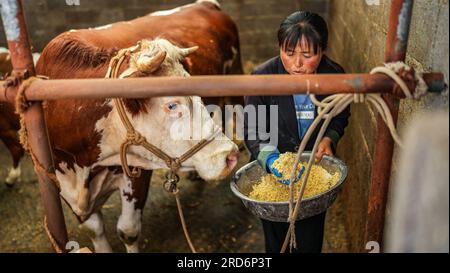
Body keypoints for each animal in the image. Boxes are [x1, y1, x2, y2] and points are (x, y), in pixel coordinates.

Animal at [36, 0, 239, 252]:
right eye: (172, 104)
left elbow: (128, 231)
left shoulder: (136, 173)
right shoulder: (60, 182)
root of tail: (205, 4)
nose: (229, 155)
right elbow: (94, 229)